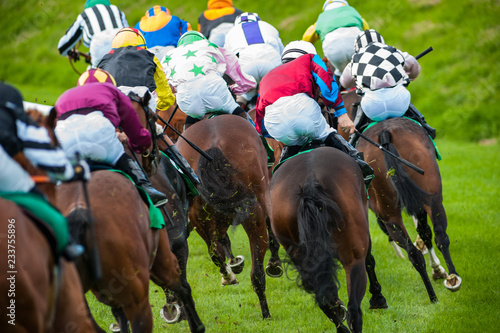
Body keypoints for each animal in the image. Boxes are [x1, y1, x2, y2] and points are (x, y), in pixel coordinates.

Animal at [176, 115, 280, 320]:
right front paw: (273, 263)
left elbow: (219, 247)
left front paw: (232, 266)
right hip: (255, 208)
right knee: (256, 269)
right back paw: (265, 313)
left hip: (200, 217)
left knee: (216, 253)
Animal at [270, 148, 386, 332]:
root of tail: (309, 183)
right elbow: (370, 260)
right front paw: (378, 298)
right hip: (353, 257)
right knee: (354, 309)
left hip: (302, 260)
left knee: (323, 299)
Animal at [342, 89, 462, 300]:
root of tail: (385, 135)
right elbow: (424, 231)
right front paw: (437, 270)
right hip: (426, 198)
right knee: (434, 237)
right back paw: (446, 283)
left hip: (394, 207)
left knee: (422, 245)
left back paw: (441, 288)